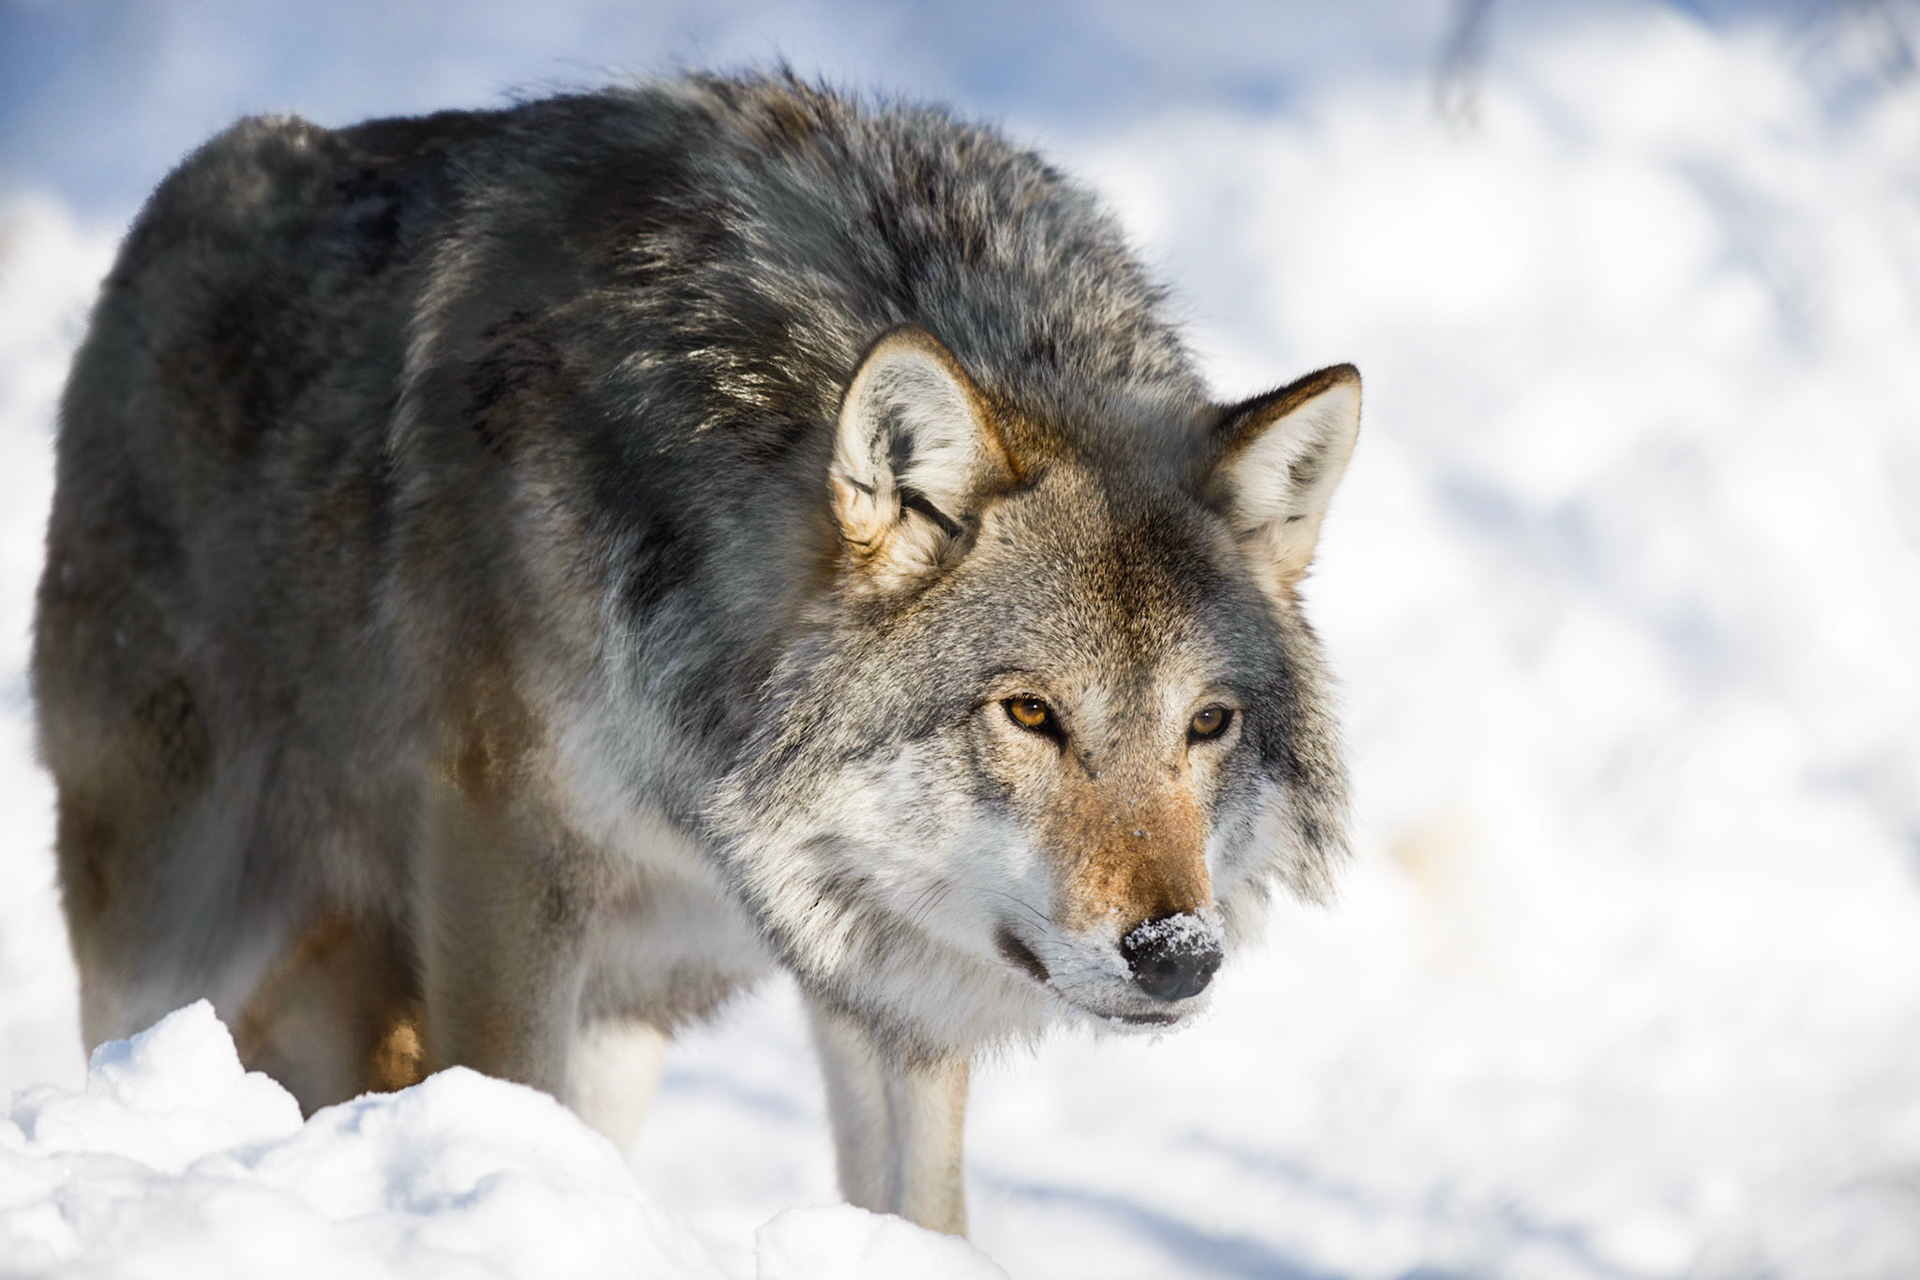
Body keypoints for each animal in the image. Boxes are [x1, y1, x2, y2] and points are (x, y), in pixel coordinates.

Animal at [32, 72, 1359, 1234]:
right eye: (1031, 712)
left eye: (1207, 724)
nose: (1177, 955)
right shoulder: (502, 853)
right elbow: (499, 1093)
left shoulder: (878, 971)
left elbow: (921, 1210)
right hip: (180, 936)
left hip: (626, 1014)